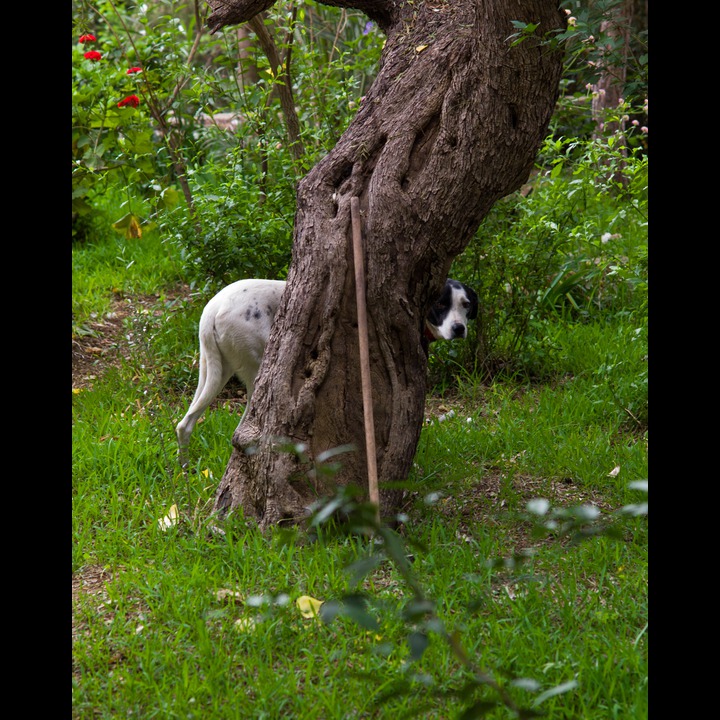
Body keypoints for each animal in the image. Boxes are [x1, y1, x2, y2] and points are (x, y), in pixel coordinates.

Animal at [175, 278, 478, 464]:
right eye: (440, 304)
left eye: (466, 305)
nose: (459, 329)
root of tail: (213, 310)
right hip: (256, 370)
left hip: (213, 370)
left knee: (185, 424)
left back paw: (185, 466)